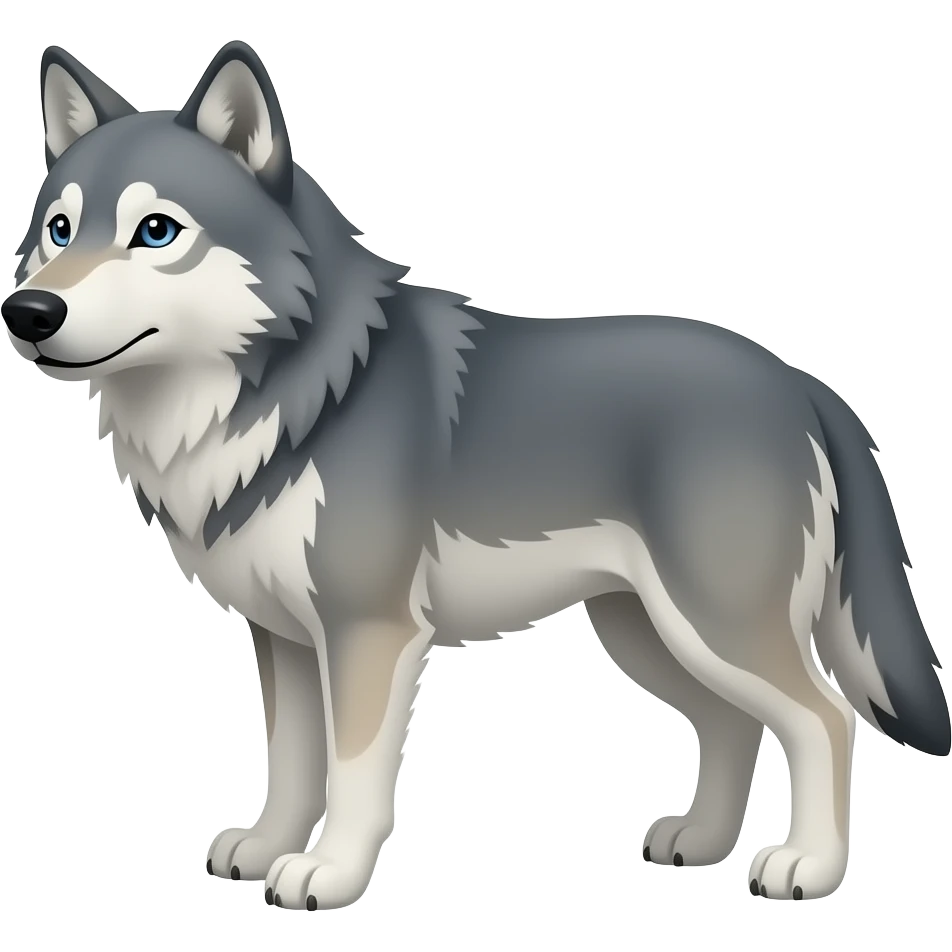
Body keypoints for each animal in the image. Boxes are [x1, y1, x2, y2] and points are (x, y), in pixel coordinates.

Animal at [3, 39, 948, 910]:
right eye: (58, 229)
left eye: (156, 231)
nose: (28, 312)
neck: (290, 395)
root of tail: (801, 382)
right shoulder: (283, 637)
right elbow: (292, 759)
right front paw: (268, 847)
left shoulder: (370, 633)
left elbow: (352, 772)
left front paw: (327, 873)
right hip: (647, 632)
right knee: (736, 722)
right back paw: (703, 842)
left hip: (712, 625)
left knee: (824, 719)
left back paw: (808, 867)